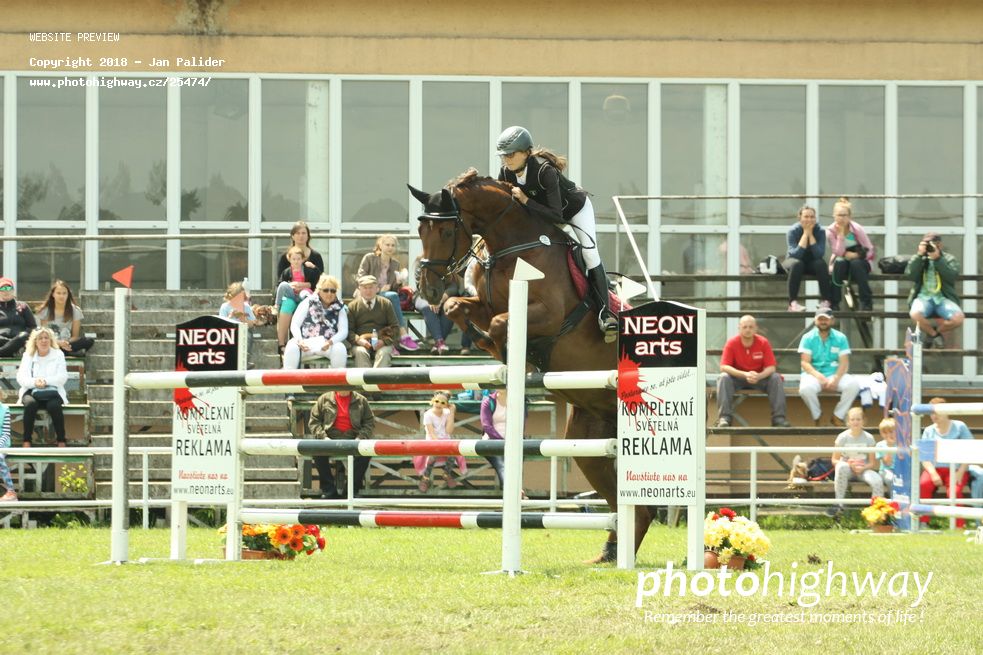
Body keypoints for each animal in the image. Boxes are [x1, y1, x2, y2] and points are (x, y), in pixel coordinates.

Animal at [409, 169, 654, 563]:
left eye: (446, 231)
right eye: (420, 230)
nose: (428, 290)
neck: (512, 245)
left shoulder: (547, 315)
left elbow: (499, 324)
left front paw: (508, 353)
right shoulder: (482, 304)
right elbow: (458, 308)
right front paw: (485, 343)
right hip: (590, 441)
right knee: (631, 505)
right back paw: (608, 555)